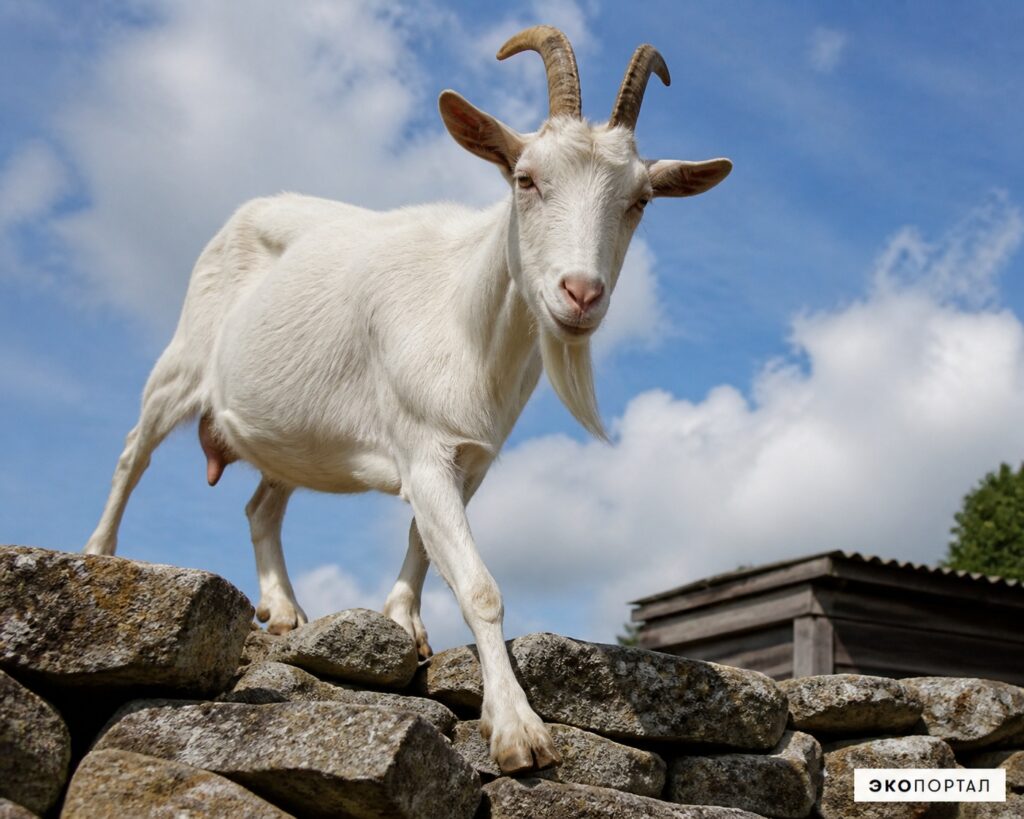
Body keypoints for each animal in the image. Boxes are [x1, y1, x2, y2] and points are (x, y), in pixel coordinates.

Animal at [84, 26, 731, 772]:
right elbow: (479, 586)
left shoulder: (470, 458)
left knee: (260, 505)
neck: (464, 314)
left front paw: (401, 621)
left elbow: (425, 542)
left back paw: (282, 608)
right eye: (525, 178)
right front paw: (519, 731)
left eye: (640, 200)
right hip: (183, 357)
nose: (581, 293)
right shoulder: (423, 448)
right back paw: (101, 553)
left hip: (290, 434)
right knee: (132, 454)